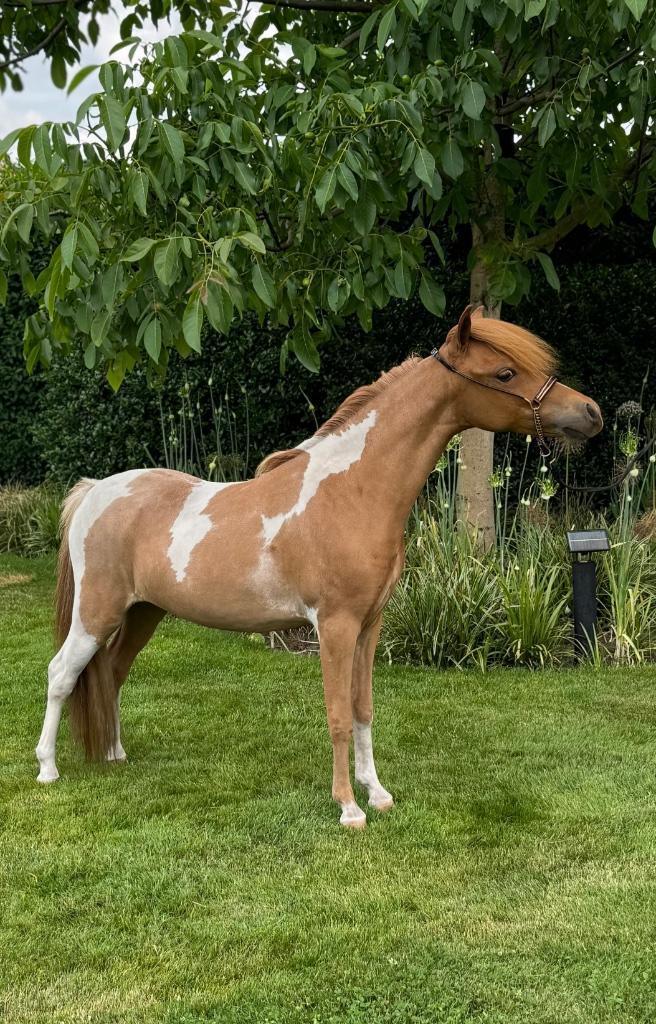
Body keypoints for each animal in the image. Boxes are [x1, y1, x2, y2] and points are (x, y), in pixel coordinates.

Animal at [35, 304, 603, 827]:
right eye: (505, 373)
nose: (591, 412)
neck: (352, 491)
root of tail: (95, 491)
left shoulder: (370, 626)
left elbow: (363, 708)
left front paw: (377, 793)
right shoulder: (334, 625)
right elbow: (337, 715)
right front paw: (349, 808)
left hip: (143, 613)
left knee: (111, 672)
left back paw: (114, 755)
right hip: (97, 612)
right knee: (62, 673)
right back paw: (47, 769)